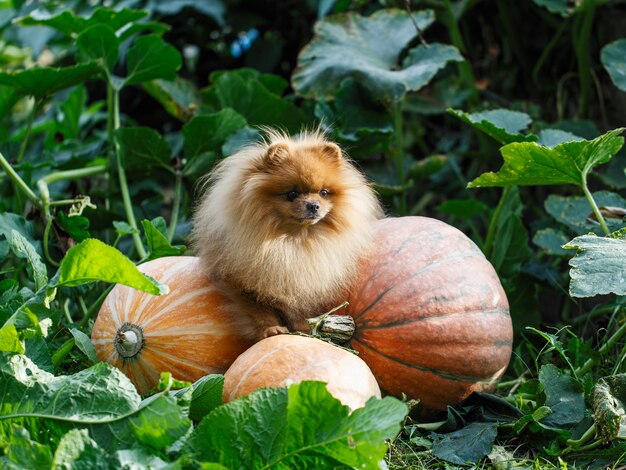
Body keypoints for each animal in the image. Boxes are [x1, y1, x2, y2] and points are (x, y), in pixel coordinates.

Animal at [190, 129, 380, 342]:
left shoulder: (302, 286)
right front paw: (271, 329)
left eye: (323, 192)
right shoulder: (243, 286)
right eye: (292, 194)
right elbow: (259, 312)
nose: (313, 205)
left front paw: (304, 330)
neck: (293, 241)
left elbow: (299, 311)